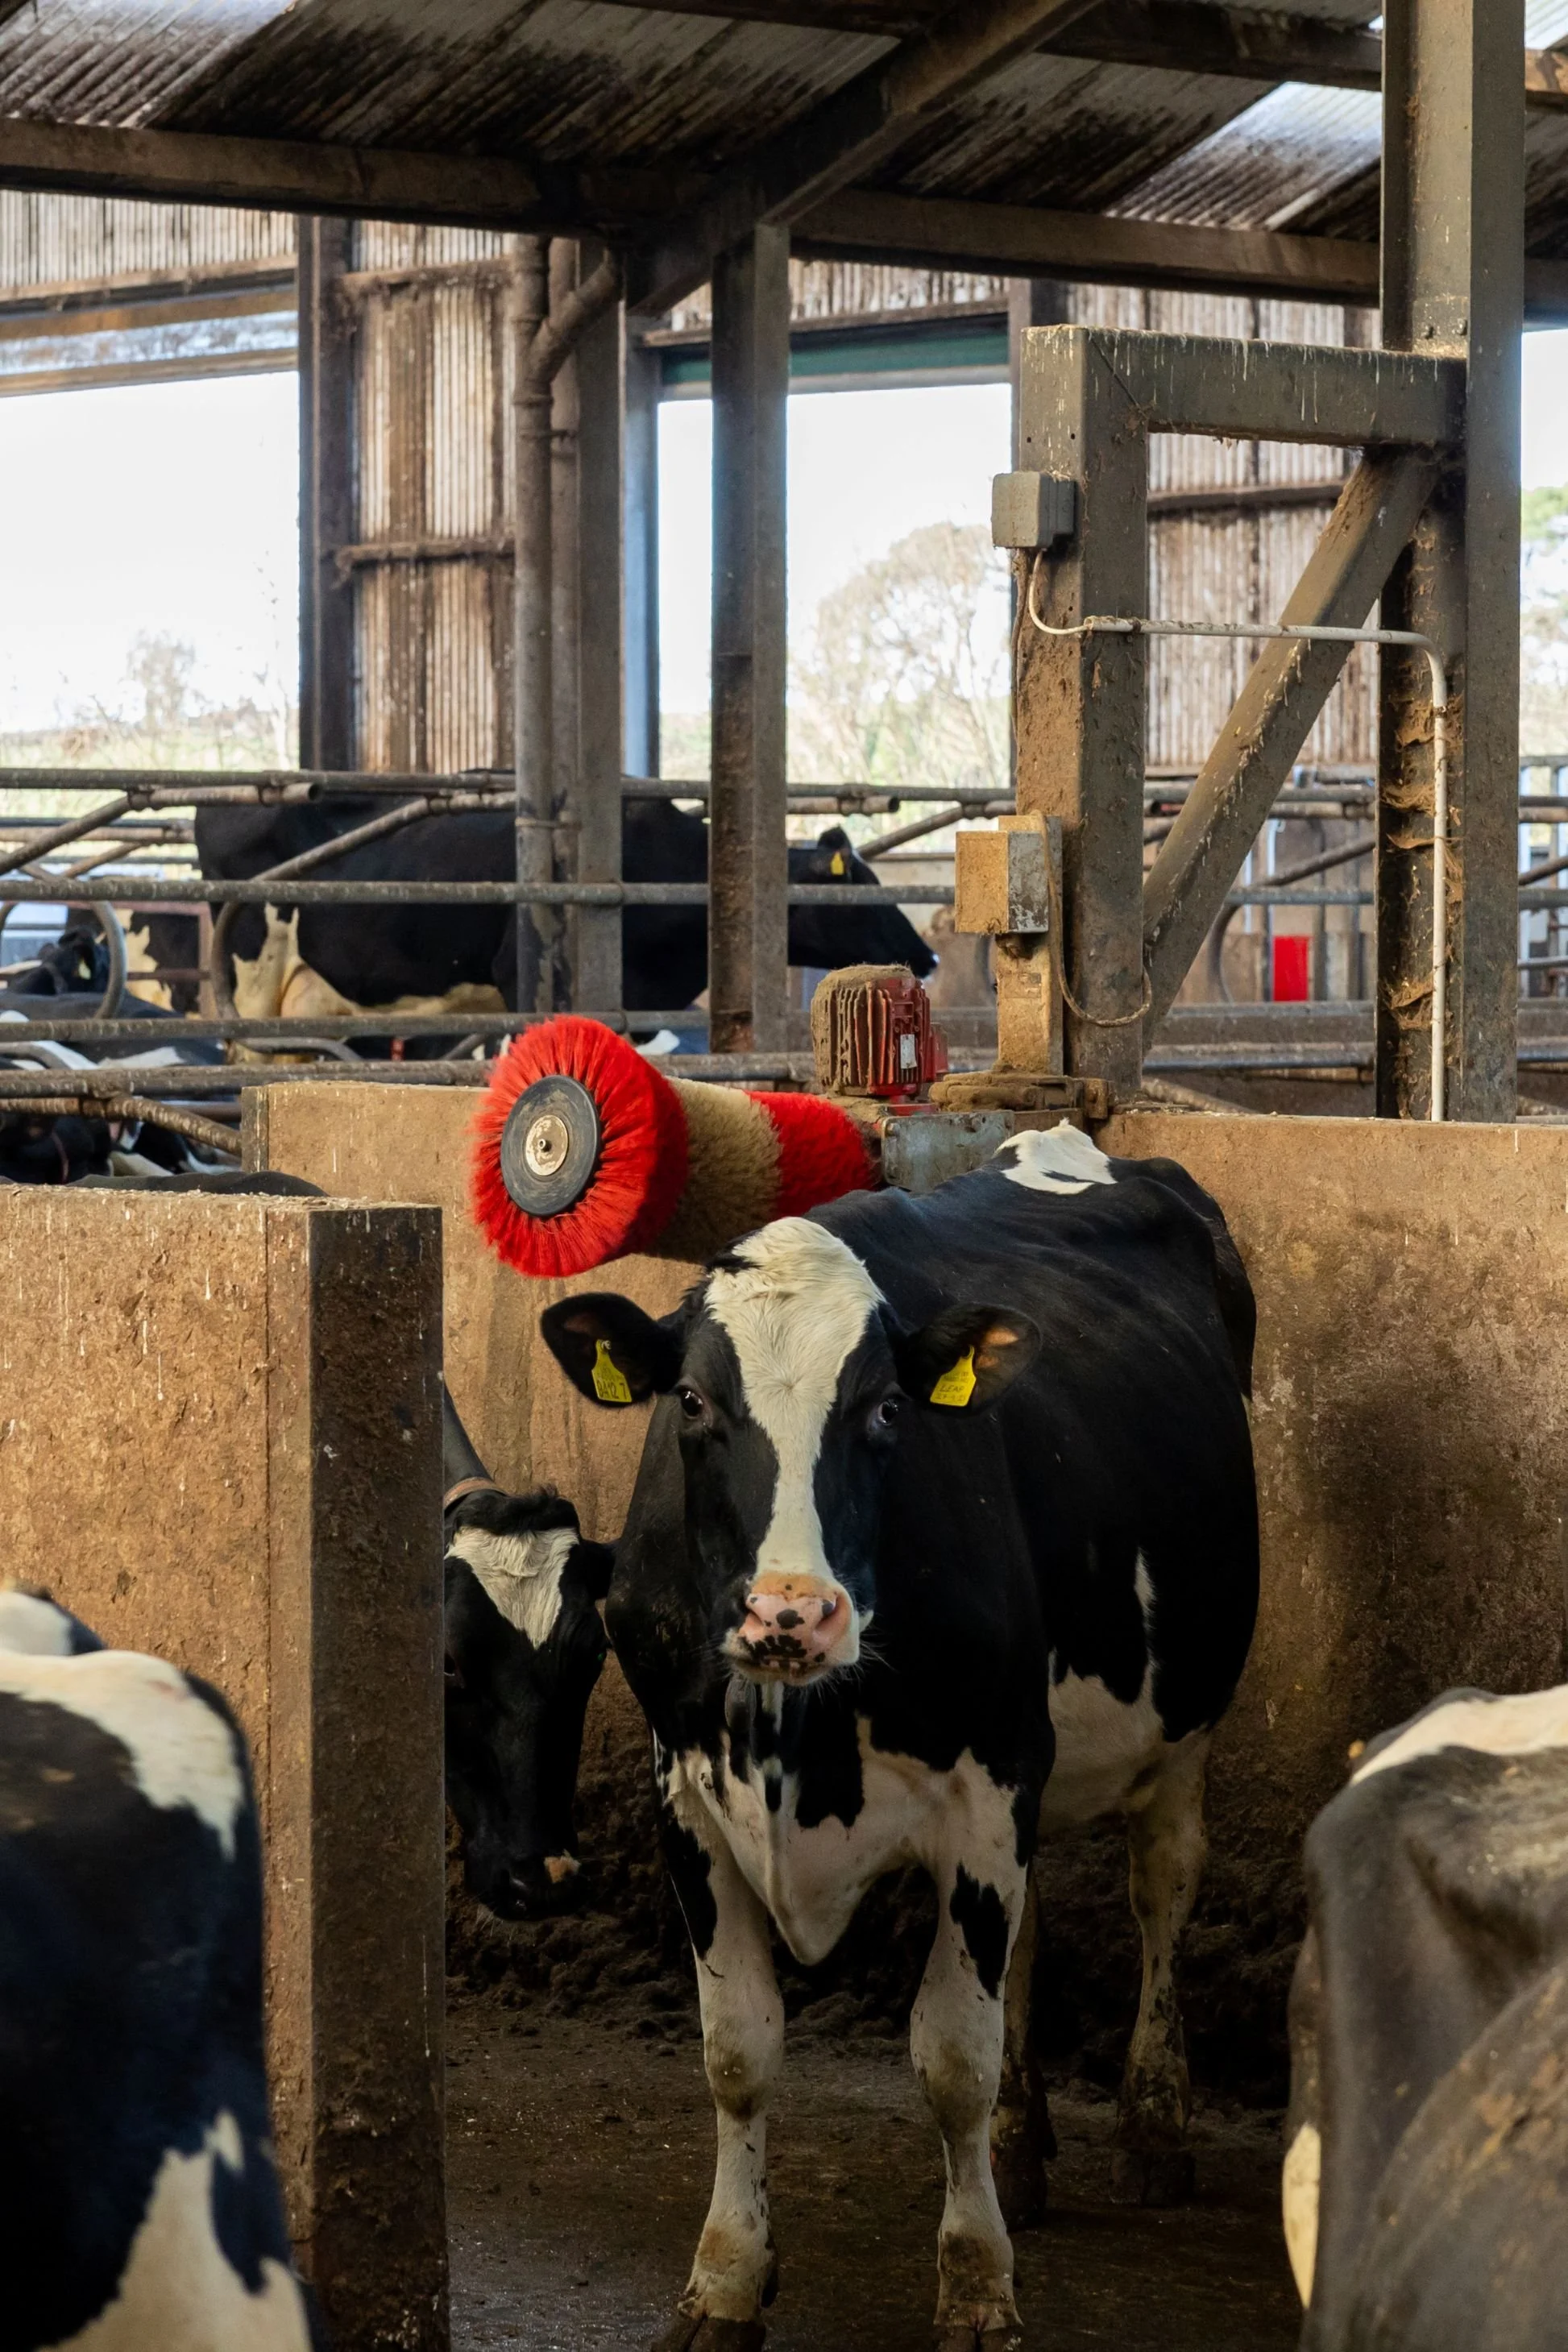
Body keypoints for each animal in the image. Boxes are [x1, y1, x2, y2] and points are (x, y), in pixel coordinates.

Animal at [536, 1124, 1259, 2351]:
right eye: (691, 1401)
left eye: (882, 1411)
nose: (787, 1612)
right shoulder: (687, 1795)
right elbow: (737, 2048)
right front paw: (725, 2278)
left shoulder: (984, 1790)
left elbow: (952, 2054)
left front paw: (975, 2284)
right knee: (1027, 1939)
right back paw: (1020, 2145)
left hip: (1175, 1731)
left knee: (1161, 1888)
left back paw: (1152, 2124)